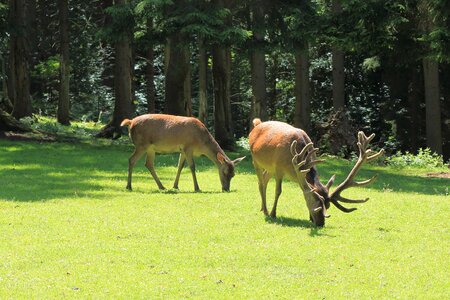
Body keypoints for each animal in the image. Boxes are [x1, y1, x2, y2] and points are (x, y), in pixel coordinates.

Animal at [250, 118, 384, 226]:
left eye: (328, 206)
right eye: (317, 207)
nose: (320, 224)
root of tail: (257, 124)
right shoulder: (278, 168)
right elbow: (278, 191)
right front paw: (273, 214)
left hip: (269, 168)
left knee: (264, 179)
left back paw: (262, 207)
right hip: (255, 160)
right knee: (260, 182)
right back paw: (266, 211)